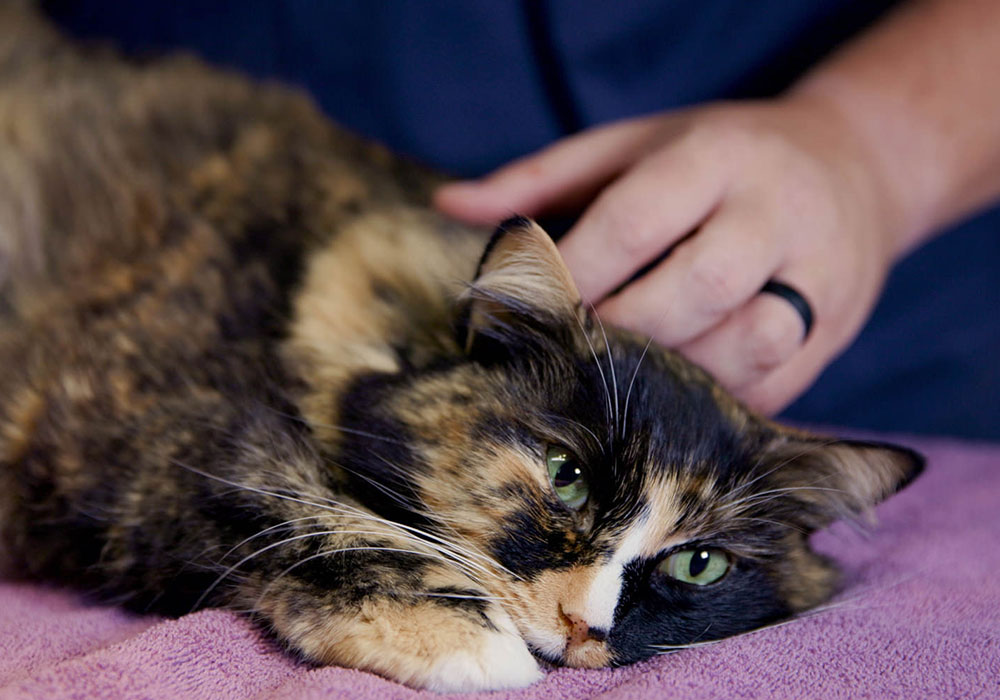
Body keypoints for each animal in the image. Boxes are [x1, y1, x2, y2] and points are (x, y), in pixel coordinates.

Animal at [0, 6, 920, 696]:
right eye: (566, 475)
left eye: (700, 565)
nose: (585, 626)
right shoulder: (128, 422)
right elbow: (284, 499)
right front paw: (463, 634)